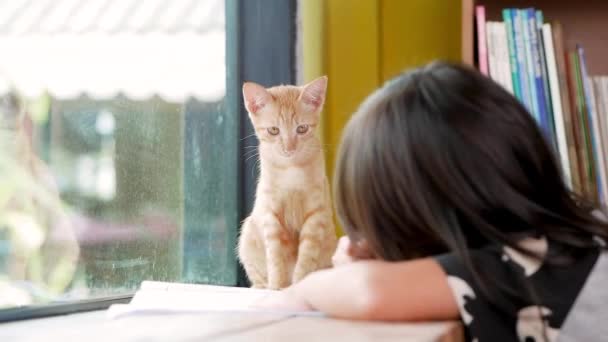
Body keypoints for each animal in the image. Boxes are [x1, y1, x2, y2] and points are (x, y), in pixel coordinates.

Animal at [238, 75, 338, 288]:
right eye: (274, 130)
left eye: (302, 128)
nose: (289, 148)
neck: (291, 168)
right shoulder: (271, 214)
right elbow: (276, 255)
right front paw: (277, 286)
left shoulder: (316, 213)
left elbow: (307, 253)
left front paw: (299, 283)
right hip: (247, 234)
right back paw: (263, 286)